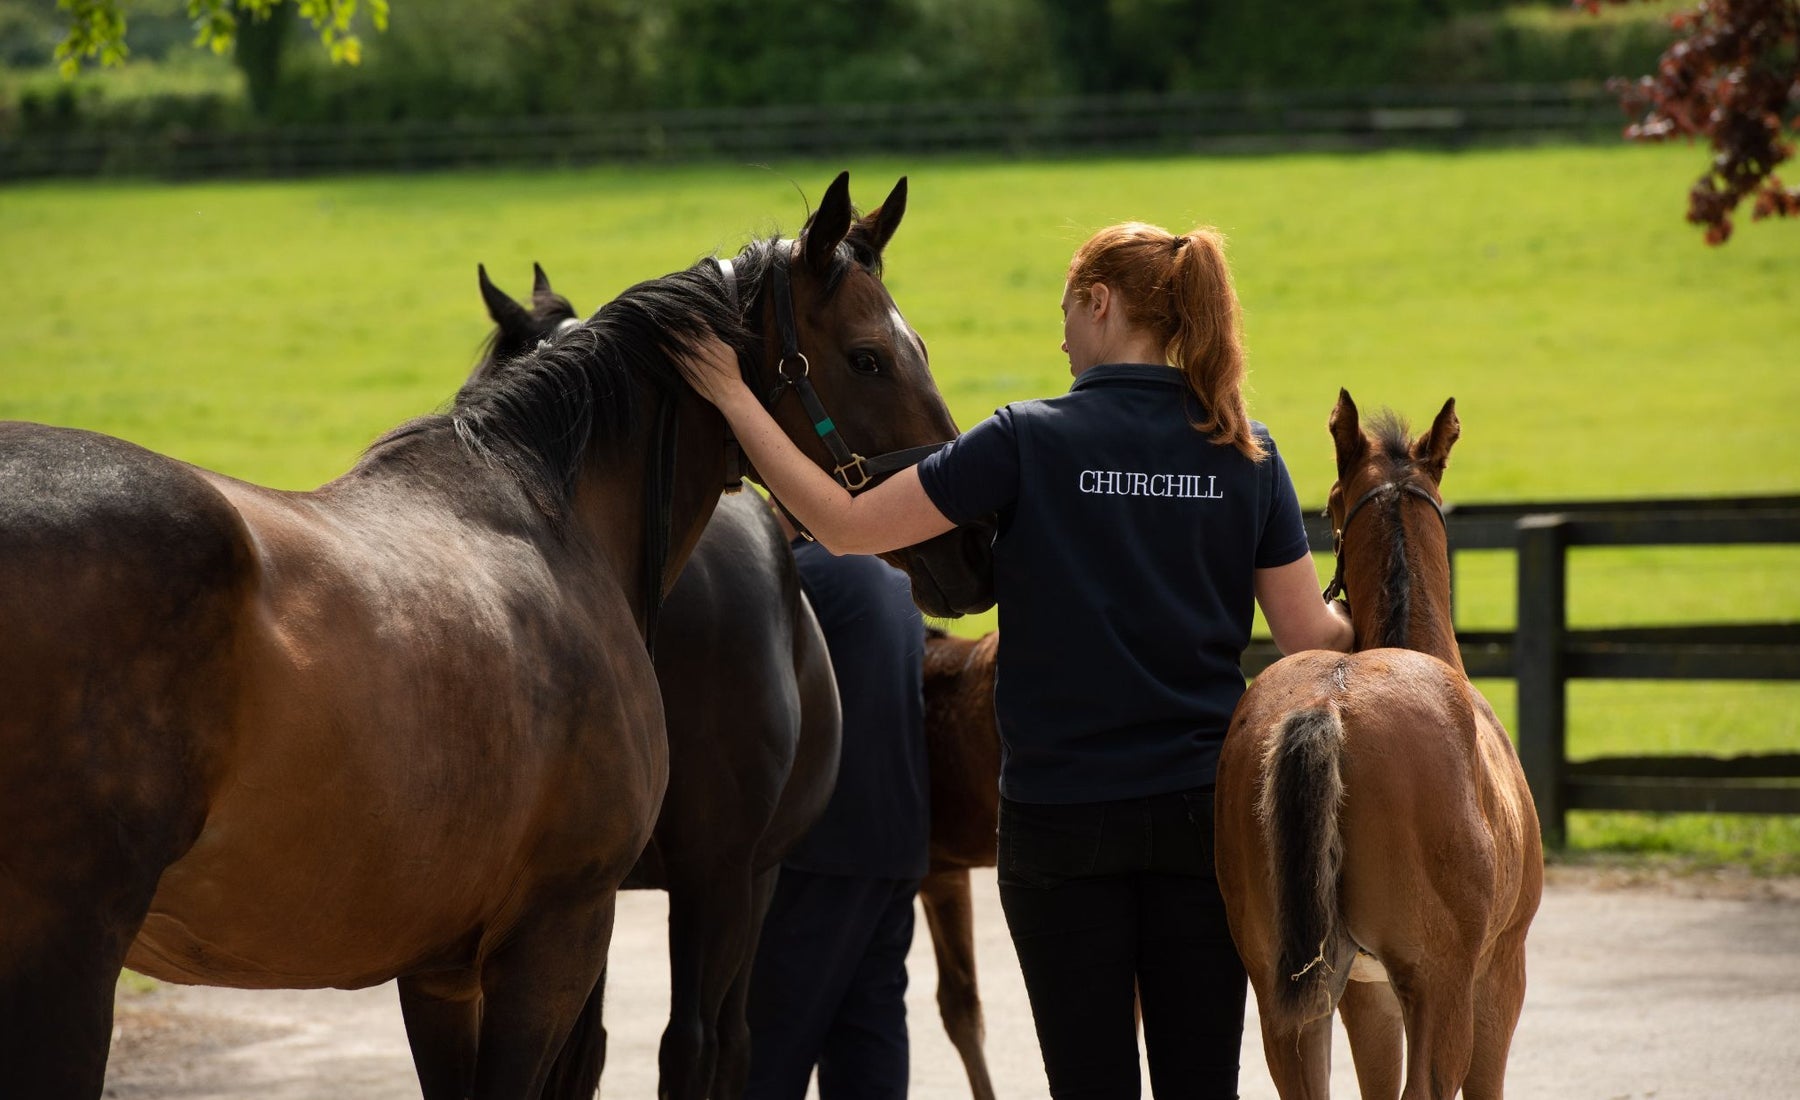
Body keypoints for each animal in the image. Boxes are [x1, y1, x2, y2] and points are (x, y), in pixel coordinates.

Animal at [1214, 390, 1543, 1099]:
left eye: (1331, 502)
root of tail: (1327, 706)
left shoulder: (1364, 997)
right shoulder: (1499, 973)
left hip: (1286, 998)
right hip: (1440, 986)